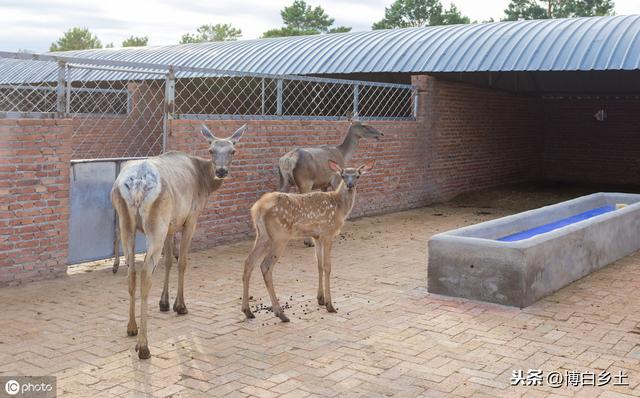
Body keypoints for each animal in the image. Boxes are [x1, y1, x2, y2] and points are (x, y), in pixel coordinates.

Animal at [111, 123, 246, 360]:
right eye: (211, 149)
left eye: (232, 150)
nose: (221, 171)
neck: (205, 183)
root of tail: (137, 183)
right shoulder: (190, 217)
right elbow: (181, 261)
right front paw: (180, 305)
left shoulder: (171, 224)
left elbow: (168, 262)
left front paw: (164, 303)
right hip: (156, 223)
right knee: (145, 273)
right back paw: (143, 346)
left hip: (127, 222)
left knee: (131, 272)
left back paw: (131, 327)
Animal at [244, 160, 376, 322]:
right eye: (343, 175)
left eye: (357, 176)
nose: (350, 185)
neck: (339, 207)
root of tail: (257, 208)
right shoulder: (327, 233)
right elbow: (327, 266)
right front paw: (330, 305)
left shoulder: (316, 236)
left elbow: (318, 265)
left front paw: (320, 299)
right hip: (280, 236)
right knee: (265, 266)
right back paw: (280, 313)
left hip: (262, 235)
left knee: (249, 261)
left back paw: (248, 311)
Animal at [278, 112, 382, 246]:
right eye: (364, 125)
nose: (380, 133)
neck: (343, 155)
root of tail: (288, 160)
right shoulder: (336, 179)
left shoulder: (324, 184)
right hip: (304, 182)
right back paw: (308, 241)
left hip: (284, 181)